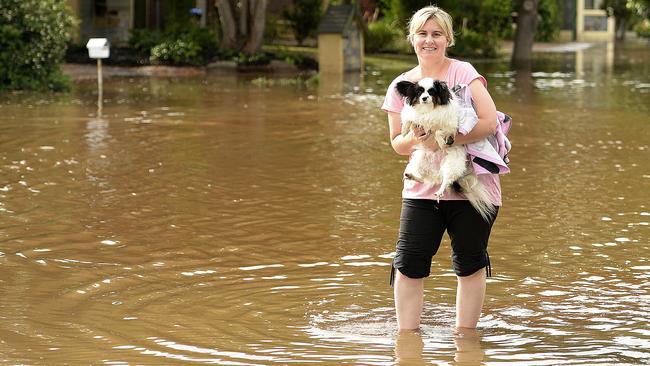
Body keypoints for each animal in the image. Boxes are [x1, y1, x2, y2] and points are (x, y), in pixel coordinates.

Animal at [394, 77, 496, 220]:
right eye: (419, 92)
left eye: (431, 92)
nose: (424, 98)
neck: (429, 110)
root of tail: (437, 170)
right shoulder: (415, 117)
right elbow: (409, 119)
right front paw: (404, 131)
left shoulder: (451, 126)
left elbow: (438, 131)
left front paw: (442, 142)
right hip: (419, 158)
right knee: (425, 178)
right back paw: (412, 175)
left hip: (451, 165)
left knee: (445, 180)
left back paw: (439, 191)